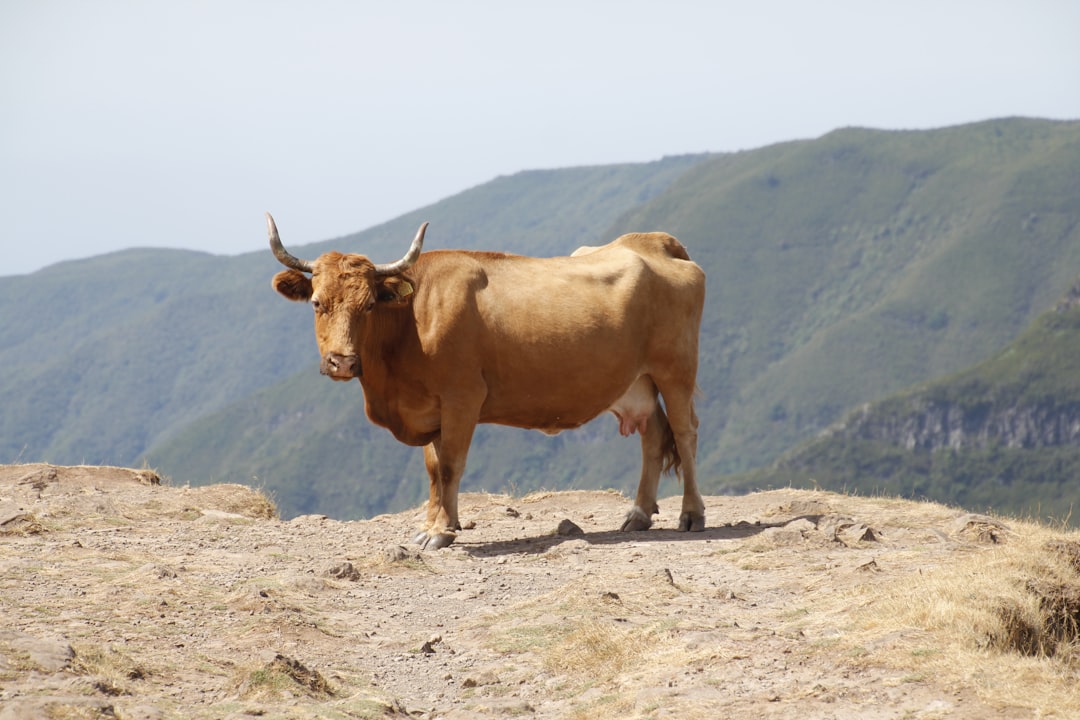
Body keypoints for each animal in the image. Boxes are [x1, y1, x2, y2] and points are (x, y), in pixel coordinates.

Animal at [267, 216, 708, 548]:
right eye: (317, 302)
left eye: (370, 304)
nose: (341, 361)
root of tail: (652, 241)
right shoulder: (428, 408)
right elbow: (432, 468)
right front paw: (432, 524)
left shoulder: (462, 397)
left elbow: (450, 465)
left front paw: (442, 532)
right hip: (638, 381)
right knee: (653, 434)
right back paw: (639, 514)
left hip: (677, 369)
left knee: (685, 432)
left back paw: (691, 514)